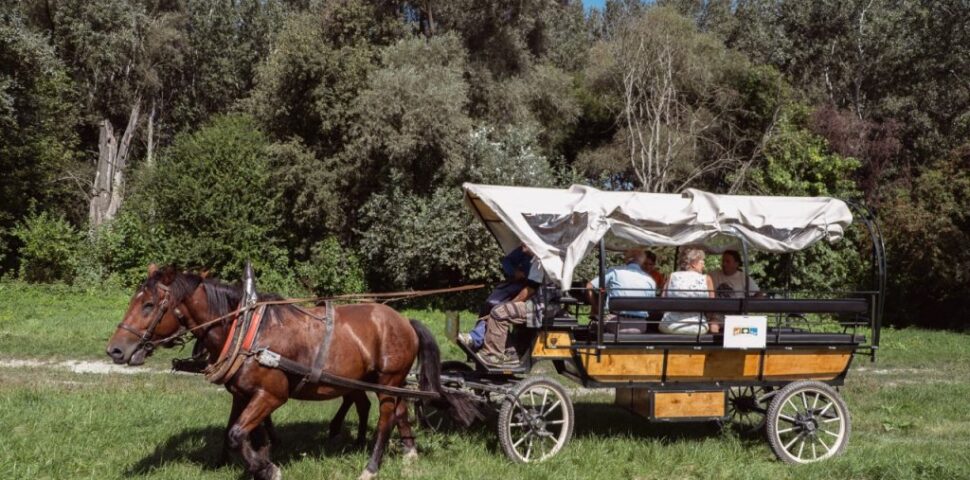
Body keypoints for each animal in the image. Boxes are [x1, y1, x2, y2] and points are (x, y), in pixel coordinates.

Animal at [106, 266, 476, 480]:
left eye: (149, 305)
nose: (115, 350)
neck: (248, 331)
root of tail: (404, 321)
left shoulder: (271, 395)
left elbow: (237, 434)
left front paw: (267, 467)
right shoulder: (242, 394)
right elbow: (239, 433)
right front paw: (253, 461)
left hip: (388, 379)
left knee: (386, 415)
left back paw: (371, 466)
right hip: (384, 380)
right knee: (397, 408)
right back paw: (408, 452)